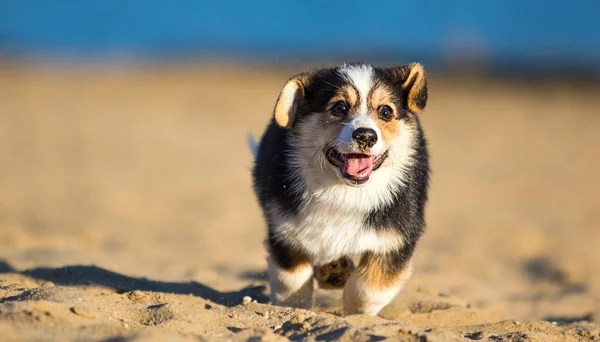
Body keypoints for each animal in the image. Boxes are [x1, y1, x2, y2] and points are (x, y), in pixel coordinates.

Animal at [251, 62, 428, 316]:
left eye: (386, 111)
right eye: (340, 107)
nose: (365, 136)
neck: (345, 191)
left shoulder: (394, 239)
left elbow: (368, 288)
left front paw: (358, 314)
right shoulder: (286, 232)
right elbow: (292, 283)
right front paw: (295, 309)